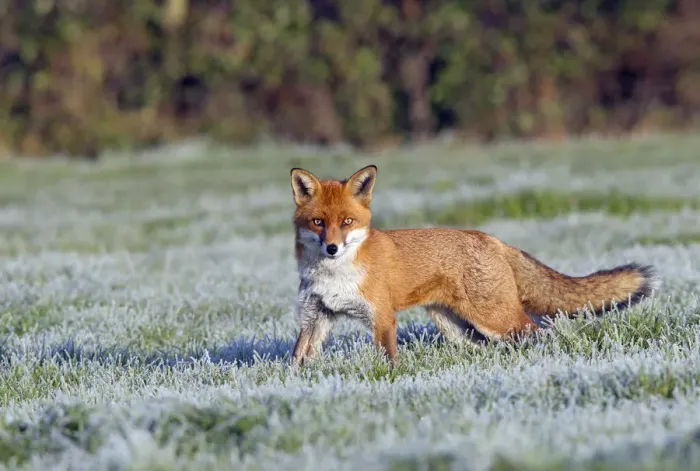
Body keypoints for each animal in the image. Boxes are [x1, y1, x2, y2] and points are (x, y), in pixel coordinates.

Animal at [289, 164, 659, 365]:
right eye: (318, 222)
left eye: (347, 221)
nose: (332, 248)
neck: (334, 275)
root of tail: (491, 238)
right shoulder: (315, 315)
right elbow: (298, 359)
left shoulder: (381, 317)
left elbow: (388, 360)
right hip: (457, 327)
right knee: (487, 349)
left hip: (495, 318)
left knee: (542, 333)